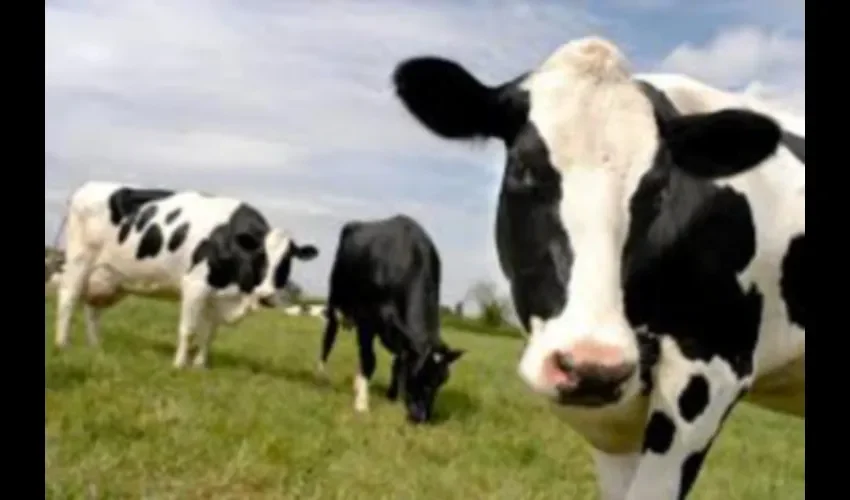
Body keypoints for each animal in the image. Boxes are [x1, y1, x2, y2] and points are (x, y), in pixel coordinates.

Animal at [53, 181, 320, 369]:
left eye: (286, 261)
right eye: (259, 256)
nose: (266, 296)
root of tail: (87, 187)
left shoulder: (215, 297)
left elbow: (209, 334)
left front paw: (201, 365)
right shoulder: (195, 285)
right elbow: (189, 329)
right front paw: (180, 364)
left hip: (108, 277)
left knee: (93, 309)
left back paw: (95, 346)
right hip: (79, 260)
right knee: (68, 298)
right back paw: (62, 343)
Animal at [318, 214, 465, 424]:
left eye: (442, 379)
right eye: (418, 373)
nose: (422, 416)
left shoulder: (401, 335)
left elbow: (398, 362)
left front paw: (392, 396)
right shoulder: (367, 319)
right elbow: (369, 360)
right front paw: (362, 404)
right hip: (335, 296)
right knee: (330, 333)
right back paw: (322, 374)